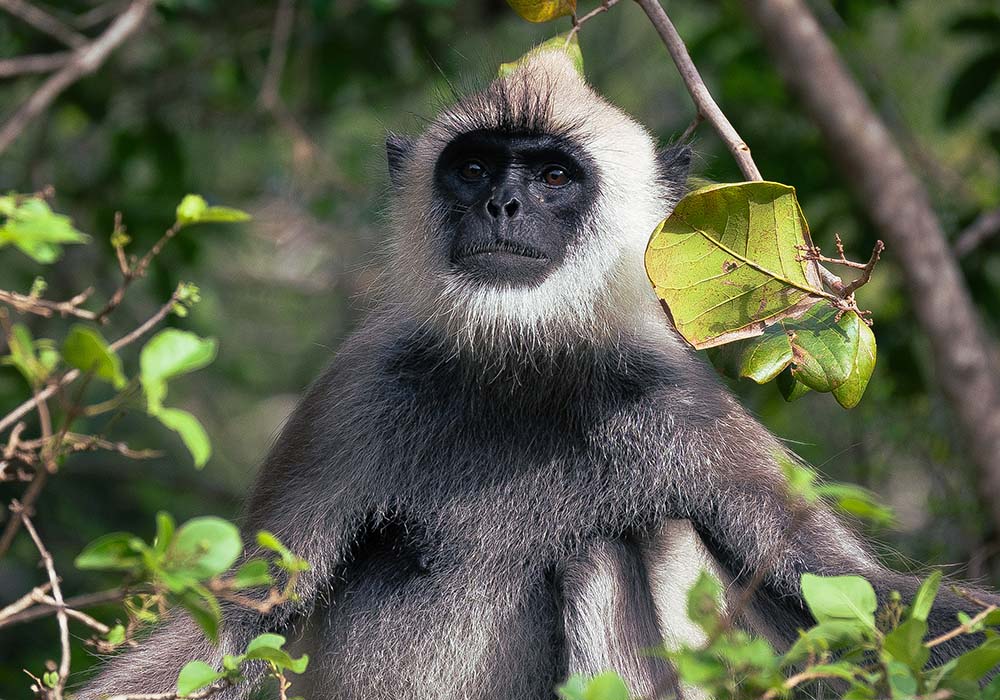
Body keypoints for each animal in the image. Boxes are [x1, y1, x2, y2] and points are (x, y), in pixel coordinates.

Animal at [82, 49, 996, 700]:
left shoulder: (678, 405)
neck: (523, 366)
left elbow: (857, 597)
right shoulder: (358, 390)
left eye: (554, 176)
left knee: (614, 545)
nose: (503, 206)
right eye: (475, 169)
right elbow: (233, 628)